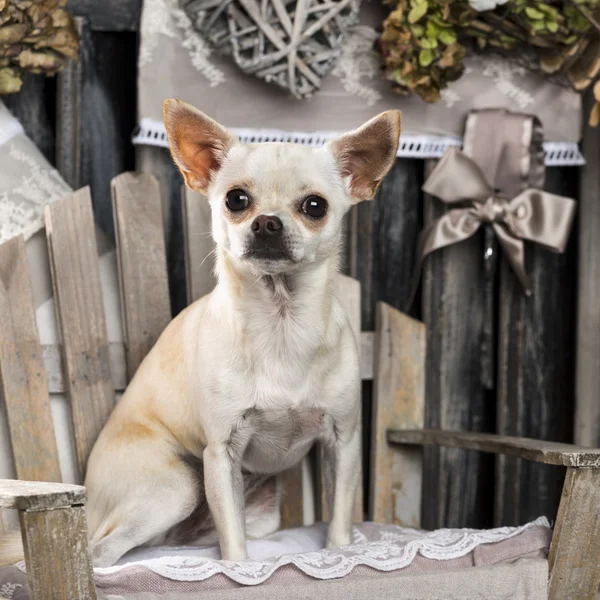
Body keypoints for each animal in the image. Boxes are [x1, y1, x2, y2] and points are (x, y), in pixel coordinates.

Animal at [1, 102, 404, 568]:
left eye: (315, 206)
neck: (281, 322)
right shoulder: (221, 454)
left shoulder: (343, 442)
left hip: (253, 513)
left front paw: (339, 552)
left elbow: (338, 517)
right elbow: (234, 543)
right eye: (236, 199)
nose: (267, 223)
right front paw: (241, 572)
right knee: (100, 552)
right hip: (176, 487)